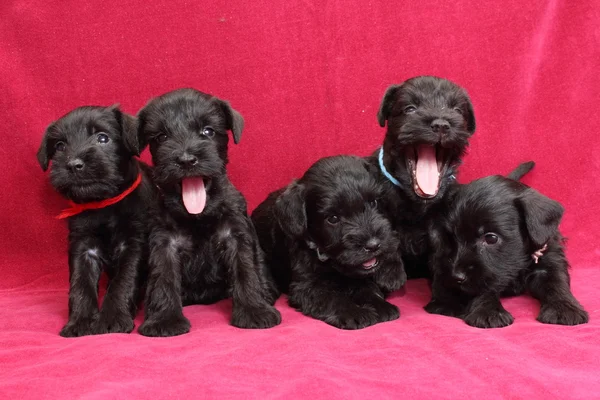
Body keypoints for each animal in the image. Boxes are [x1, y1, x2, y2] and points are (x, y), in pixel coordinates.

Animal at [36, 105, 156, 338]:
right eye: (60, 145)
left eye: (103, 138)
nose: (73, 165)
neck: (104, 205)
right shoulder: (83, 247)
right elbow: (80, 284)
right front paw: (80, 322)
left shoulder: (133, 244)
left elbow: (123, 281)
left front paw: (112, 318)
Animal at [138, 88, 282, 338]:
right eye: (161, 137)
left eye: (208, 131)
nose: (186, 160)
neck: (198, 215)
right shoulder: (165, 242)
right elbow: (163, 278)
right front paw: (165, 319)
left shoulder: (236, 235)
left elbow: (246, 270)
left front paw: (254, 310)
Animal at [251, 155, 406, 328]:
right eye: (333, 218)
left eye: (373, 202)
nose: (373, 245)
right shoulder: (306, 287)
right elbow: (332, 298)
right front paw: (355, 312)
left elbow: (367, 288)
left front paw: (381, 305)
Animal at [424, 169, 588, 328]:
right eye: (452, 237)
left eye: (491, 238)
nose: (457, 276)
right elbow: (484, 289)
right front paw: (489, 312)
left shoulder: (549, 261)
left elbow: (556, 283)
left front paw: (564, 308)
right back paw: (445, 305)